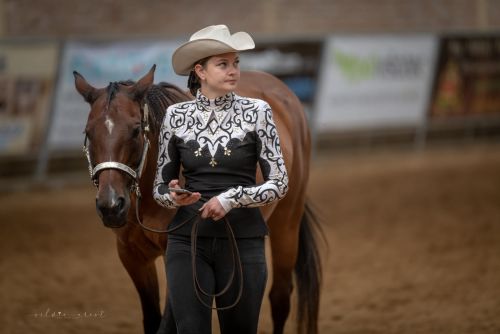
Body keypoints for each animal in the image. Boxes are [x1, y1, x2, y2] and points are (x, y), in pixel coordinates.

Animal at [74, 66, 324, 334]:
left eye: (135, 130)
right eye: (88, 133)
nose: (111, 206)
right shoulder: (132, 257)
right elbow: (152, 320)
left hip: (287, 225)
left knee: (280, 298)